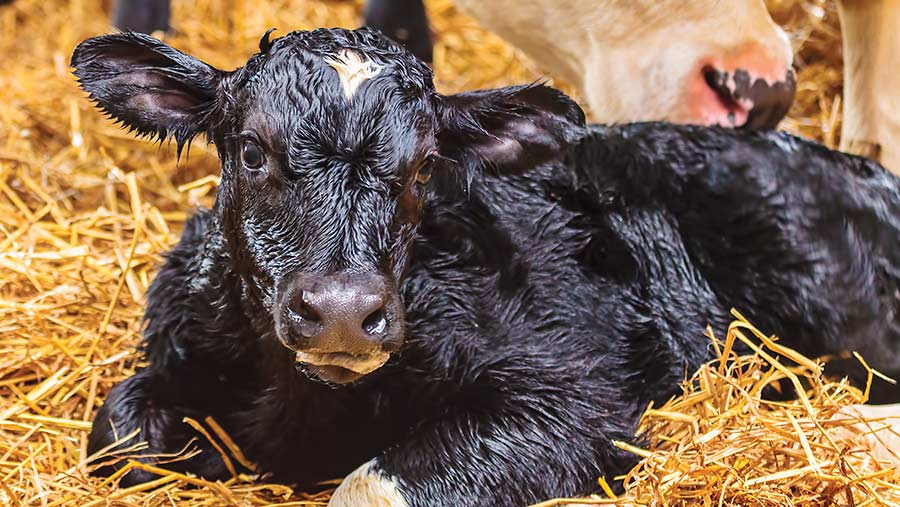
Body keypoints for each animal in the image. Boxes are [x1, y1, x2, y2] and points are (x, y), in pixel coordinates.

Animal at [74, 26, 900, 507]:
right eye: (252, 150)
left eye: (423, 167)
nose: (342, 310)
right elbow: (117, 433)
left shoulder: (578, 393)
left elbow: (370, 487)